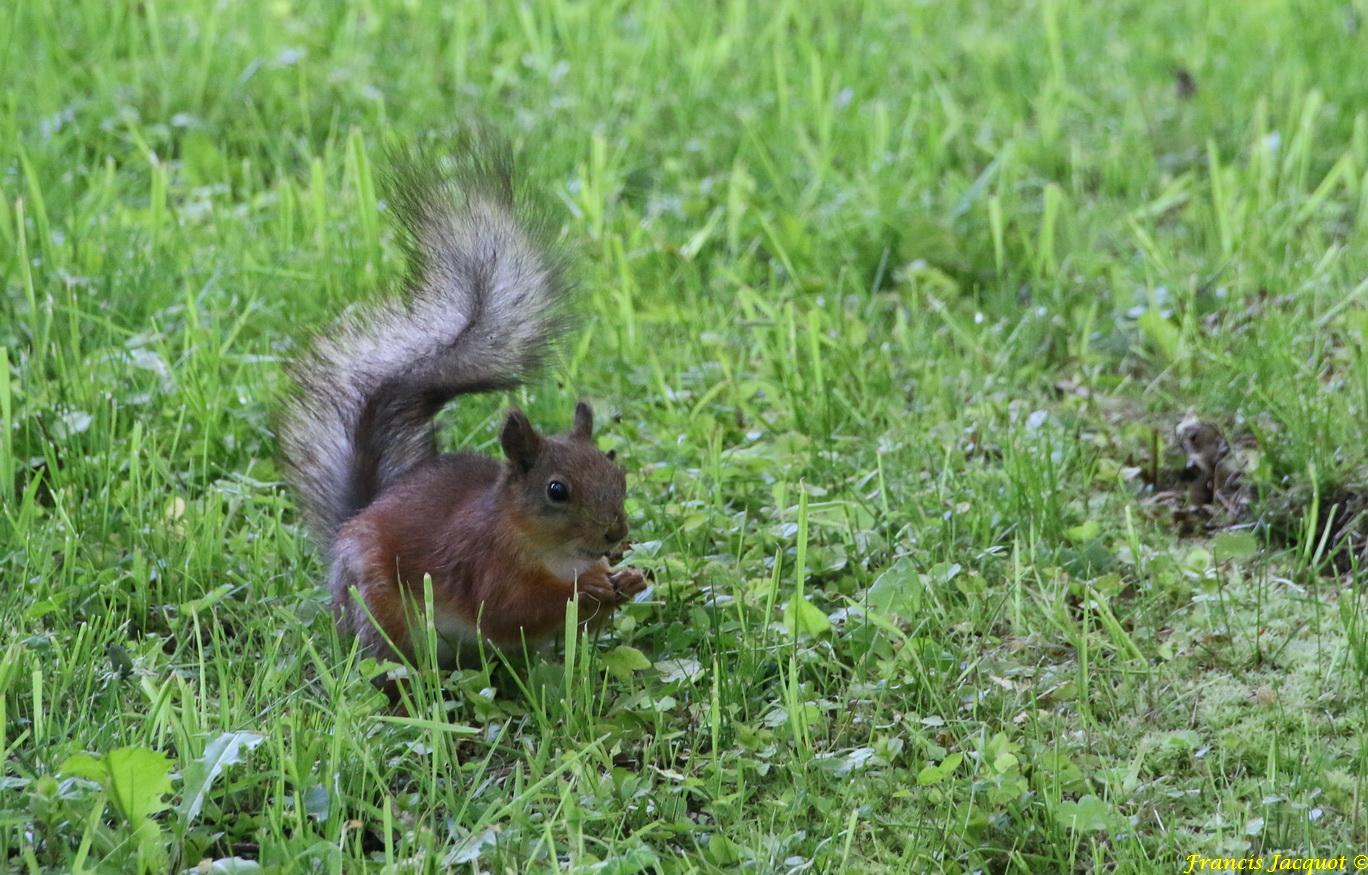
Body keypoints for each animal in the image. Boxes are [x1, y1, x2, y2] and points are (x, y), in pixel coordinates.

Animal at [277, 146, 645, 667]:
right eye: (556, 490)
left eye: (618, 473)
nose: (616, 535)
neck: (555, 555)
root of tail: (348, 527)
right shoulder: (481, 562)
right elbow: (512, 610)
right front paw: (585, 589)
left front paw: (625, 580)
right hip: (378, 610)